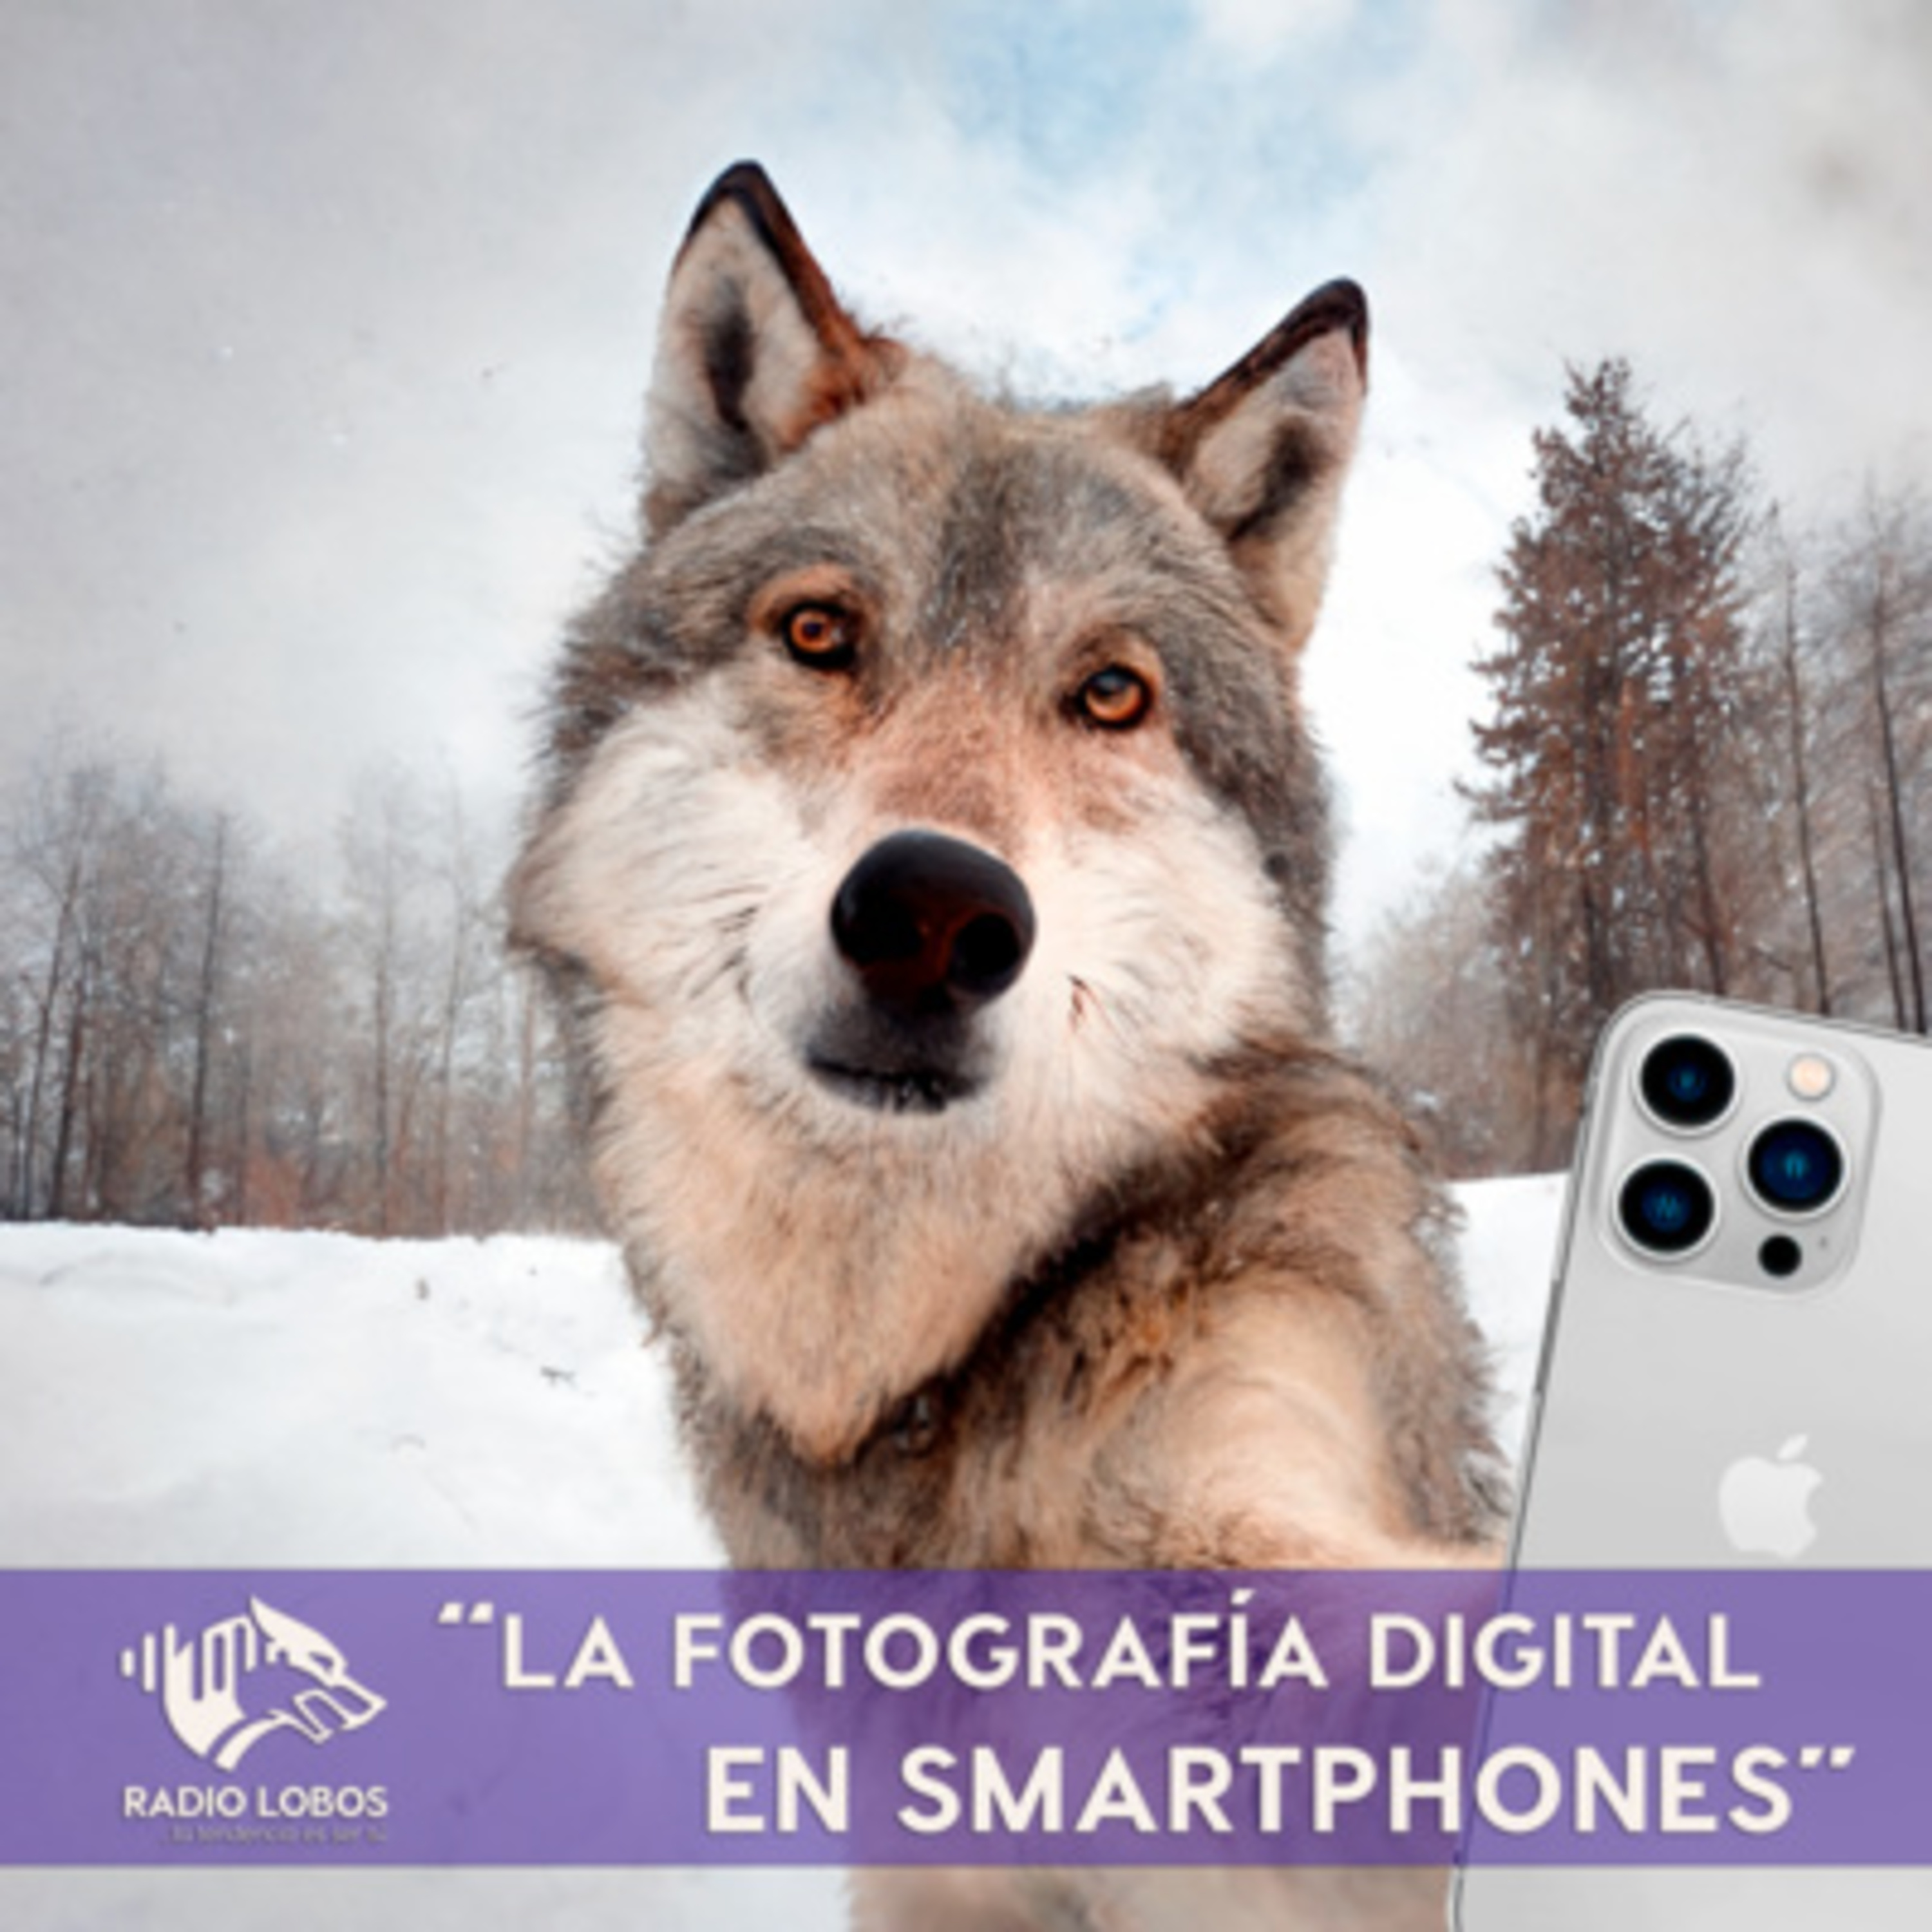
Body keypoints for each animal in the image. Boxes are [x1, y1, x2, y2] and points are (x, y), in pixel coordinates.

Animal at [511, 162, 1503, 1927]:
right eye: (820, 633)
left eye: (1109, 693)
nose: (932, 914)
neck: (931, 1375)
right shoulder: (924, 1872)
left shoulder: (1245, 1447)